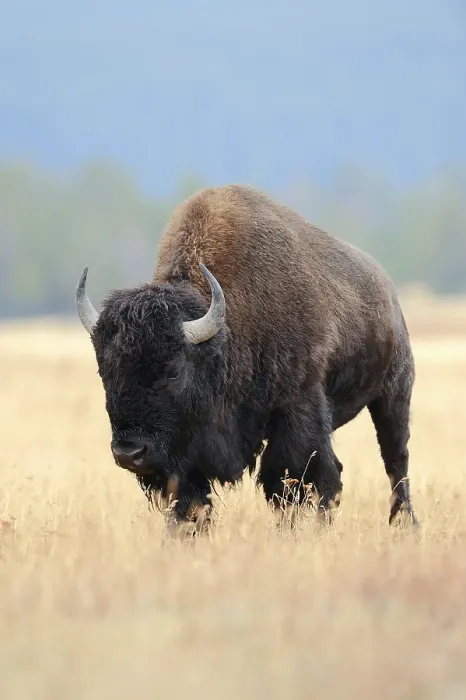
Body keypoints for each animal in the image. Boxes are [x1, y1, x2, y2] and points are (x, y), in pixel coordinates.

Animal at [76, 184, 418, 536]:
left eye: (174, 372)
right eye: (105, 372)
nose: (129, 452)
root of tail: (388, 291)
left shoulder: (297, 412)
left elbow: (294, 481)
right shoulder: (186, 451)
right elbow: (189, 500)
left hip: (393, 396)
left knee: (394, 461)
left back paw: (404, 524)